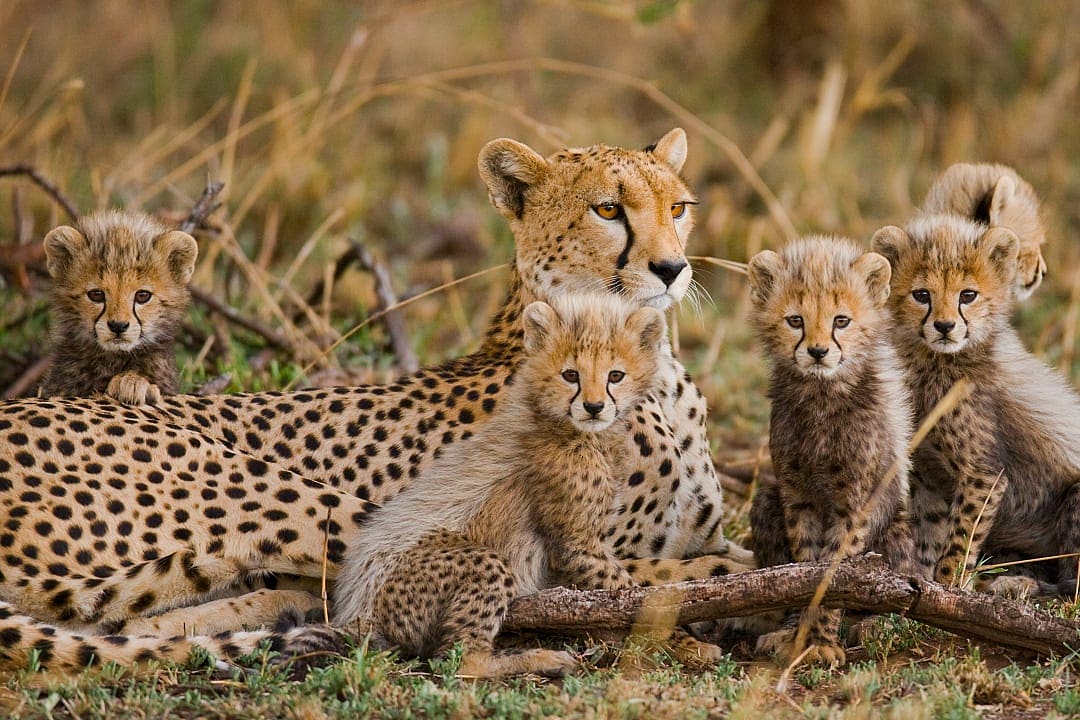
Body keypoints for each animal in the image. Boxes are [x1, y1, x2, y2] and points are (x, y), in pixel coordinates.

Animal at [746, 236, 915, 667]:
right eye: (795, 321)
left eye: (841, 321)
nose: (819, 352)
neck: (822, 396)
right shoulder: (797, 495)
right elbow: (803, 570)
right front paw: (801, 636)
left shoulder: (853, 504)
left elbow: (835, 574)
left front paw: (821, 641)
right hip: (766, 501)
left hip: (896, 529)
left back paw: (875, 624)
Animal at [873, 214, 1080, 596]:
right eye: (922, 295)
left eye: (967, 295)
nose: (944, 326)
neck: (937, 363)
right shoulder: (930, 473)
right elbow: (931, 533)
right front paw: (925, 584)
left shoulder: (983, 475)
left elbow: (959, 541)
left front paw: (948, 588)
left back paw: (1017, 584)